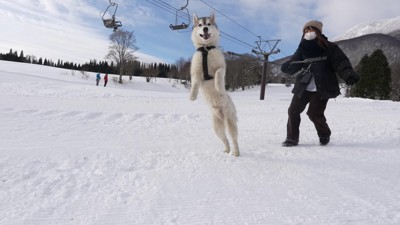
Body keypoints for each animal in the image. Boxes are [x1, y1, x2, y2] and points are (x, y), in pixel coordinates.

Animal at [189, 11, 239, 156]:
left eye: (209, 24)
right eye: (200, 25)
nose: (205, 29)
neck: (206, 49)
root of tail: (221, 115)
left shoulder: (221, 67)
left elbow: (218, 74)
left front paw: (218, 86)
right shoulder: (196, 72)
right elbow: (195, 82)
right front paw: (192, 96)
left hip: (230, 122)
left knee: (234, 139)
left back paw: (236, 152)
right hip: (217, 127)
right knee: (225, 139)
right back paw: (226, 150)